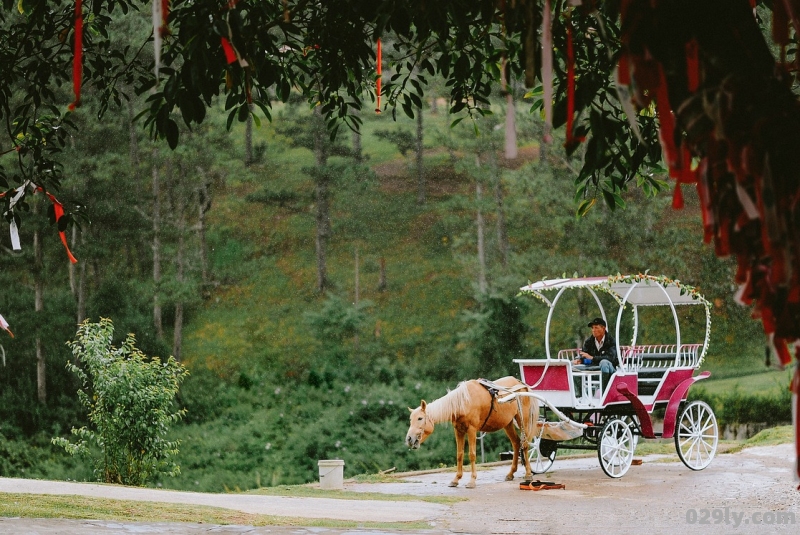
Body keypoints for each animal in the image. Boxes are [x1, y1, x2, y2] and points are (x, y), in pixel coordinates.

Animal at [406, 376, 536, 490]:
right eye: (410, 419)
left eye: (420, 418)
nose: (409, 439)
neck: (463, 403)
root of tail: (520, 383)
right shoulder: (458, 431)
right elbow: (459, 454)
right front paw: (456, 479)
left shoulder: (472, 430)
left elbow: (472, 454)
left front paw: (472, 481)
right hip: (507, 424)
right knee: (516, 443)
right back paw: (510, 474)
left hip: (523, 420)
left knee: (524, 445)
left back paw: (528, 474)